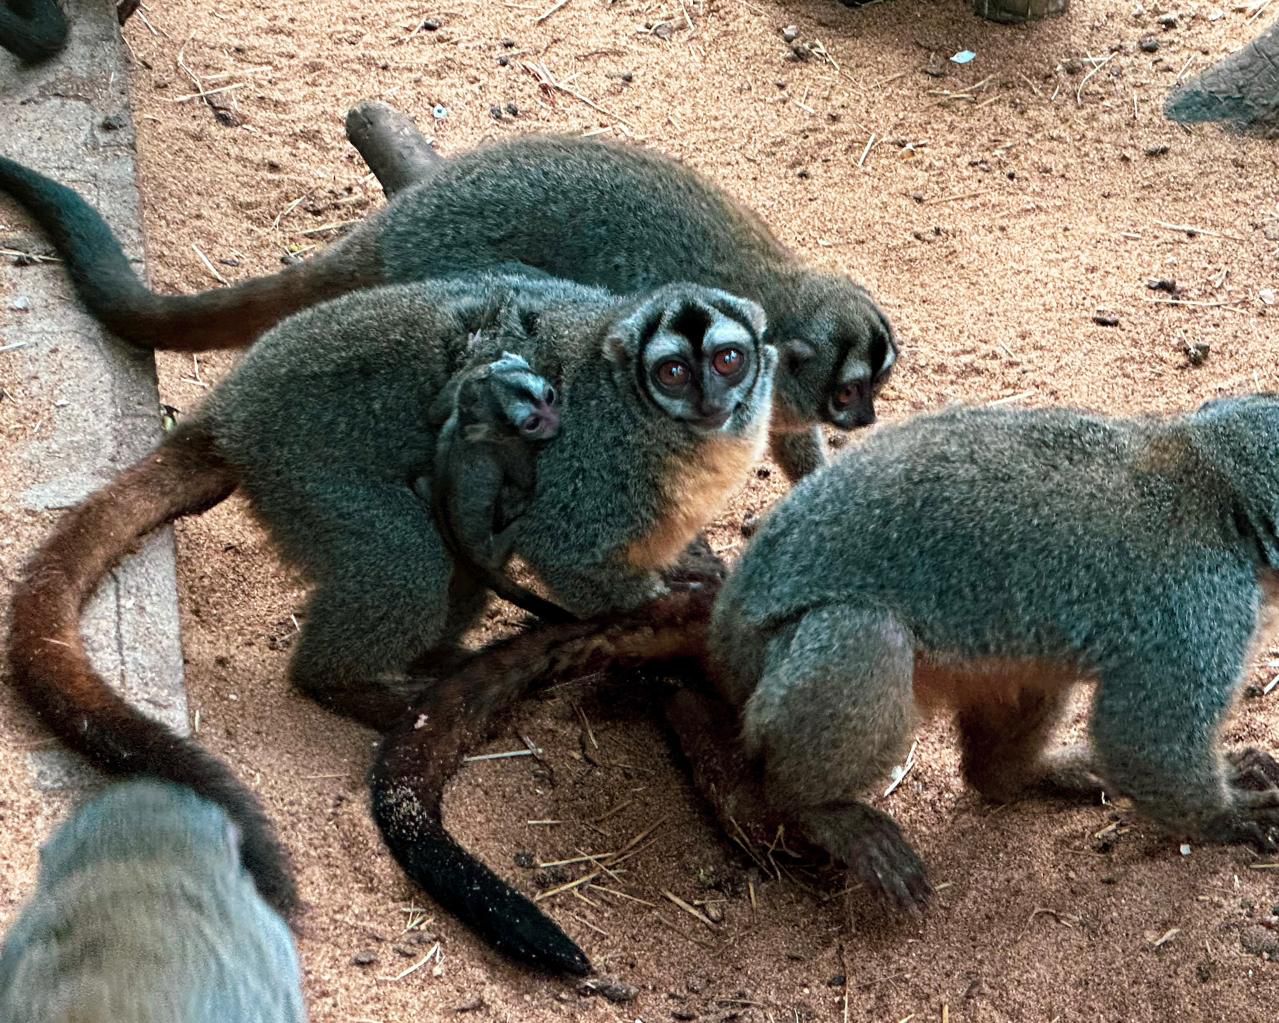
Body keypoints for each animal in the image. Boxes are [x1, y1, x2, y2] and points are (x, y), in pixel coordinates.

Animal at [369, 394, 1279, 973]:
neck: (1208, 481)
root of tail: (724, 626)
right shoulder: (1203, 596)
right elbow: (1146, 736)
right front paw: (1228, 818)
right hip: (767, 676)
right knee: (863, 634)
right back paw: (817, 808)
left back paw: (1011, 777)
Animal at [413, 350, 578, 624]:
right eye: (533, 424)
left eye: (549, 397)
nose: (557, 421)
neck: (466, 421)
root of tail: (473, 563)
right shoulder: (512, 447)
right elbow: (528, 483)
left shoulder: (454, 407)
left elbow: (433, 413)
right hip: (494, 552)